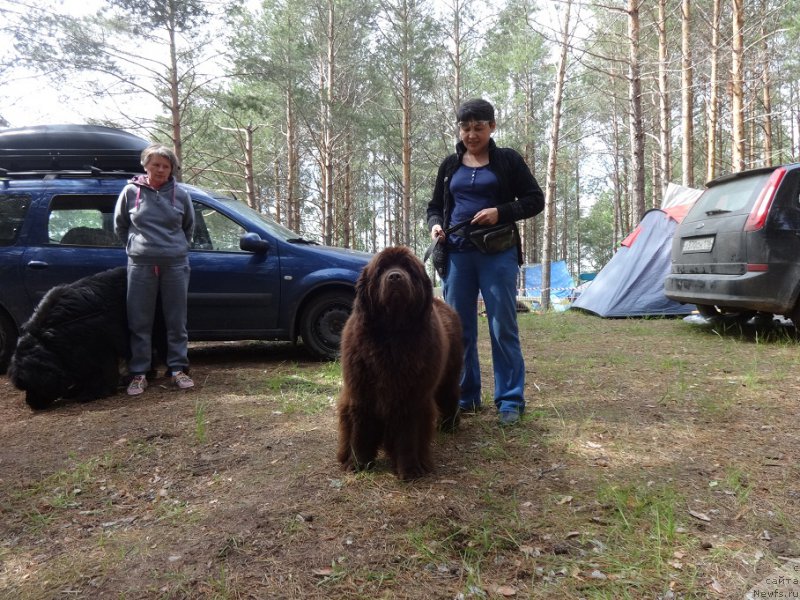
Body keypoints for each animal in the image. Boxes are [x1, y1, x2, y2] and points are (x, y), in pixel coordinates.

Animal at [9, 268, 166, 412]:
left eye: (31, 385)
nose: (30, 404)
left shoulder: (96, 348)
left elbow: (99, 372)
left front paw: (92, 393)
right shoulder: (76, 354)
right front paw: (76, 390)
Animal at [338, 246, 462, 480]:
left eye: (409, 269)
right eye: (381, 270)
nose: (395, 276)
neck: (392, 336)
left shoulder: (411, 397)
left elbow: (408, 435)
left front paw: (410, 469)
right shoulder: (362, 392)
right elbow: (361, 430)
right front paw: (358, 463)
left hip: (449, 375)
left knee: (449, 396)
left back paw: (450, 425)